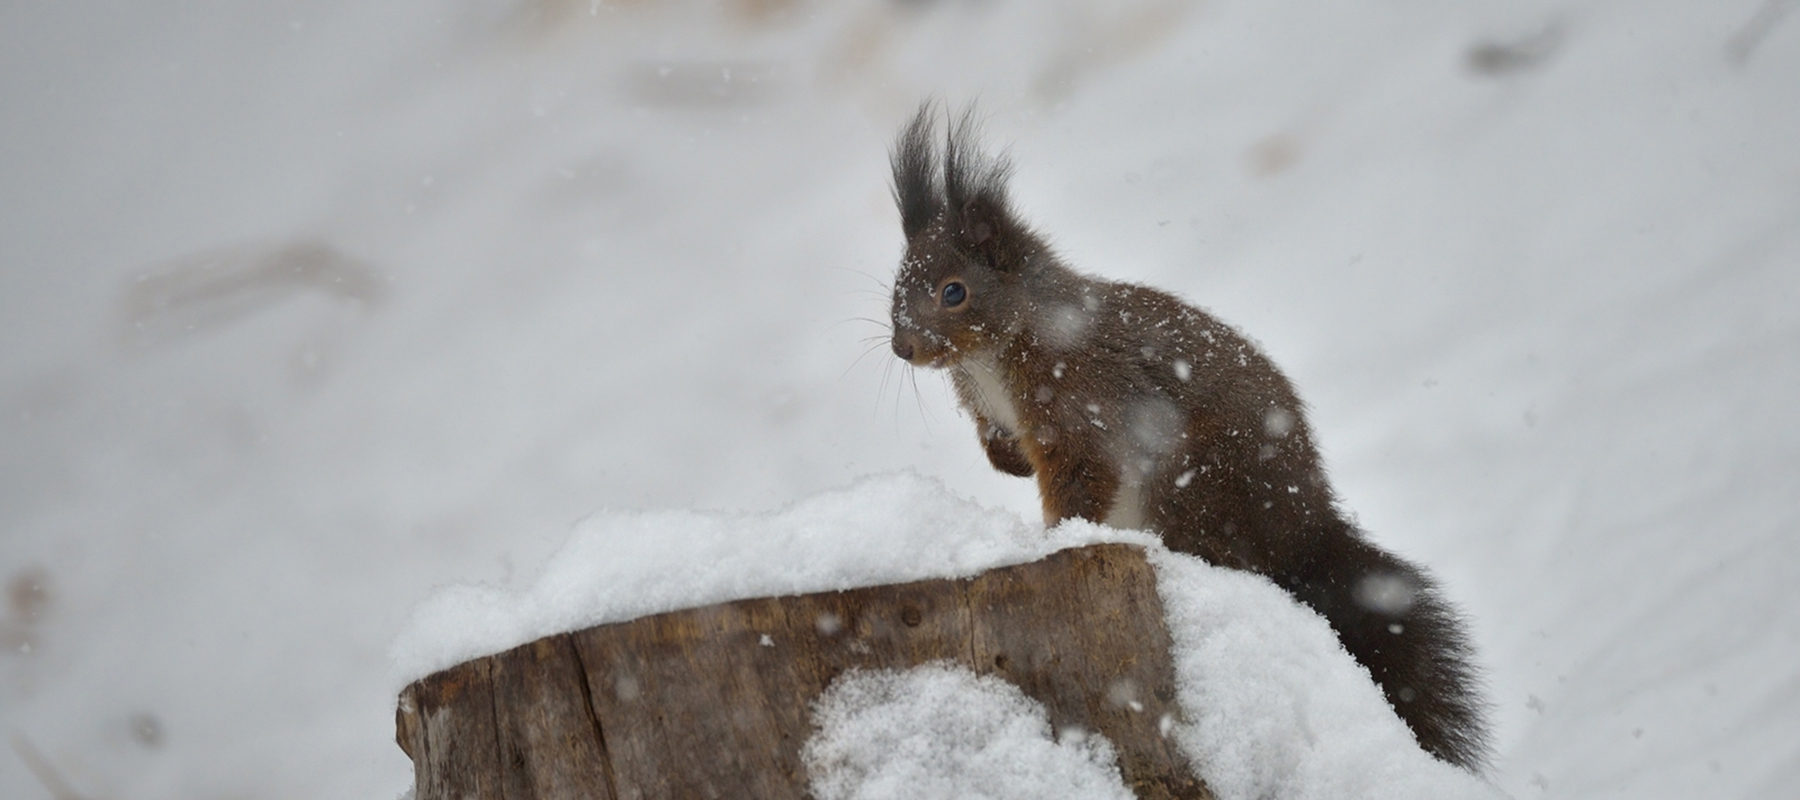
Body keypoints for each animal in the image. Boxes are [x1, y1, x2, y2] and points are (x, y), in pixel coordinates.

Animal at [885, 106, 1490, 767]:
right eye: (896, 287)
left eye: (954, 291)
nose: (902, 347)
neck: (994, 356)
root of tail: (1302, 529)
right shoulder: (988, 408)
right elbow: (997, 445)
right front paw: (1012, 463)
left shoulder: (1080, 399)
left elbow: (1082, 477)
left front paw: (1055, 536)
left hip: (1194, 487)